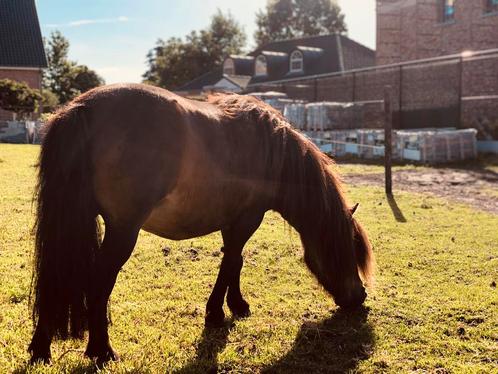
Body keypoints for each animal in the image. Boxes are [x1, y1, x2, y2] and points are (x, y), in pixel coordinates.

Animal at [28, 83, 374, 364]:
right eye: (349, 249)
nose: (359, 298)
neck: (271, 151)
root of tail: (83, 107)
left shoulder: (231, 220)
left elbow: (235, 261)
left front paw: (237, 305)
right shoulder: (248, 218)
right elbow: (231, 261)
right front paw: (216, 314)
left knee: (58, 274)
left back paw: (41, 348)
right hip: (123, 230)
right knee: (99, 281)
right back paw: (101, 350)